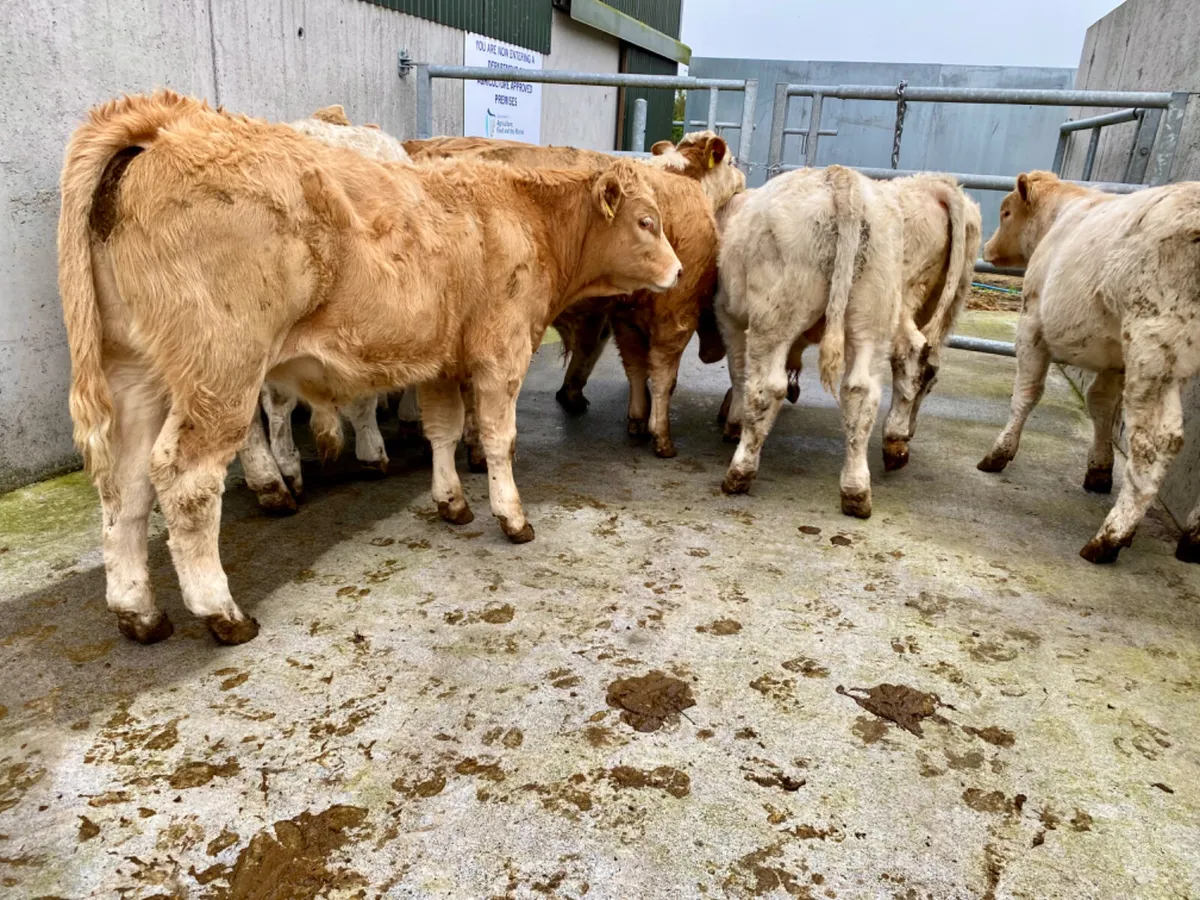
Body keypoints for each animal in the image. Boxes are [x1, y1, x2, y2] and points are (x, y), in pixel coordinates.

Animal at [60, 91, 681, 643]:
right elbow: (499, 439)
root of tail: (167, 124)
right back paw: (222, 610)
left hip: (136, 373)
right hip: (221, 371)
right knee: (185, 480)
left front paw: (451, 502)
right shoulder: (500, 353)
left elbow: (442, 430)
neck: (521, 216)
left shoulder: (443, 361)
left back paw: (138, 611)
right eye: (647, 221)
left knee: (126, 484)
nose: (677, 271)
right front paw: (512, 517)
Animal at [710, 162, 902, 513]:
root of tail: (840, 176)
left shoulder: (727, 315)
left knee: (766, 387)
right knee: (862, 393)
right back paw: (856, 491)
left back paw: (740, 472)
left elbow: (738, 371)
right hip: (873, 318)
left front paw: (733, 423)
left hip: (773, 315)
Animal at [979, 170, 1200, 564]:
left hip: (1154, 346)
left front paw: (999, 453)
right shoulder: (1115, 357)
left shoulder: (1032, 322)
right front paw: (1099, 470)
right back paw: (1193, 538)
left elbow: (1027, 392)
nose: (987, 249)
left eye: (1005, 212)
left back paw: (1111, 537)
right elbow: (1100, 403)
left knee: (1157, 441)